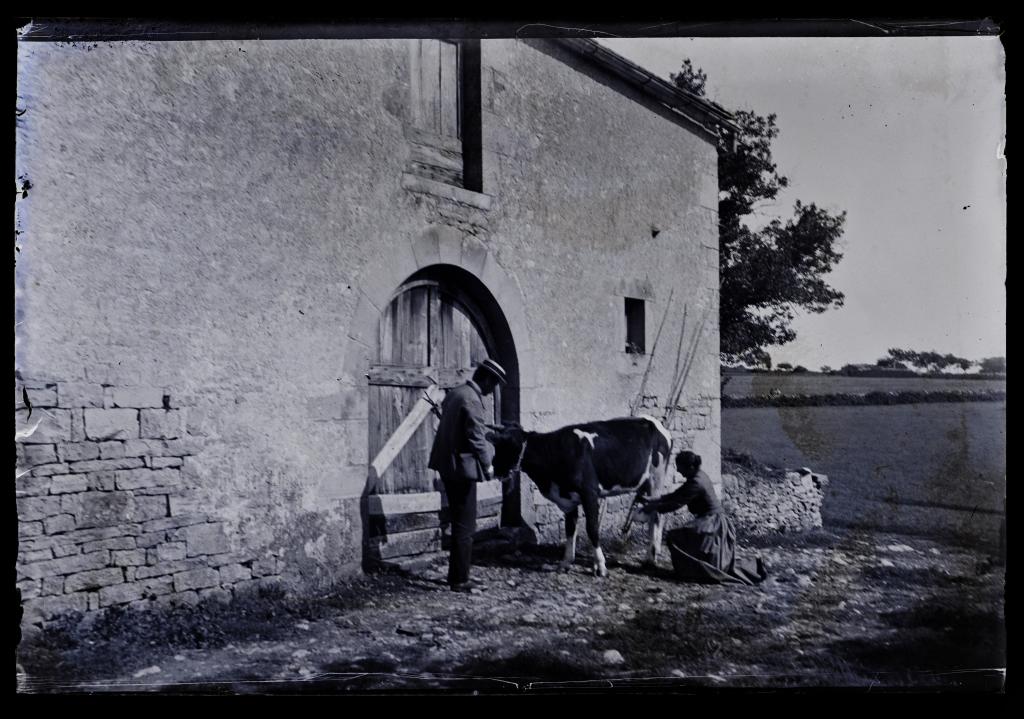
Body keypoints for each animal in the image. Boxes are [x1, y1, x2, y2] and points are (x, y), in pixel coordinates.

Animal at [485, 413, 671, 577]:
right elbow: (569, 530)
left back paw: (650, 558)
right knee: (656, 515)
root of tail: (655, 423)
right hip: (646, 485)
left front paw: (601, 567)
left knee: (656, 517)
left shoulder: (590, 493)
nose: (489, 471)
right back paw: (654, 553)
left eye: (505, 447)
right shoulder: (568, 501)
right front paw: (566, 563)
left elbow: (592, 529)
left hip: (656, 480)